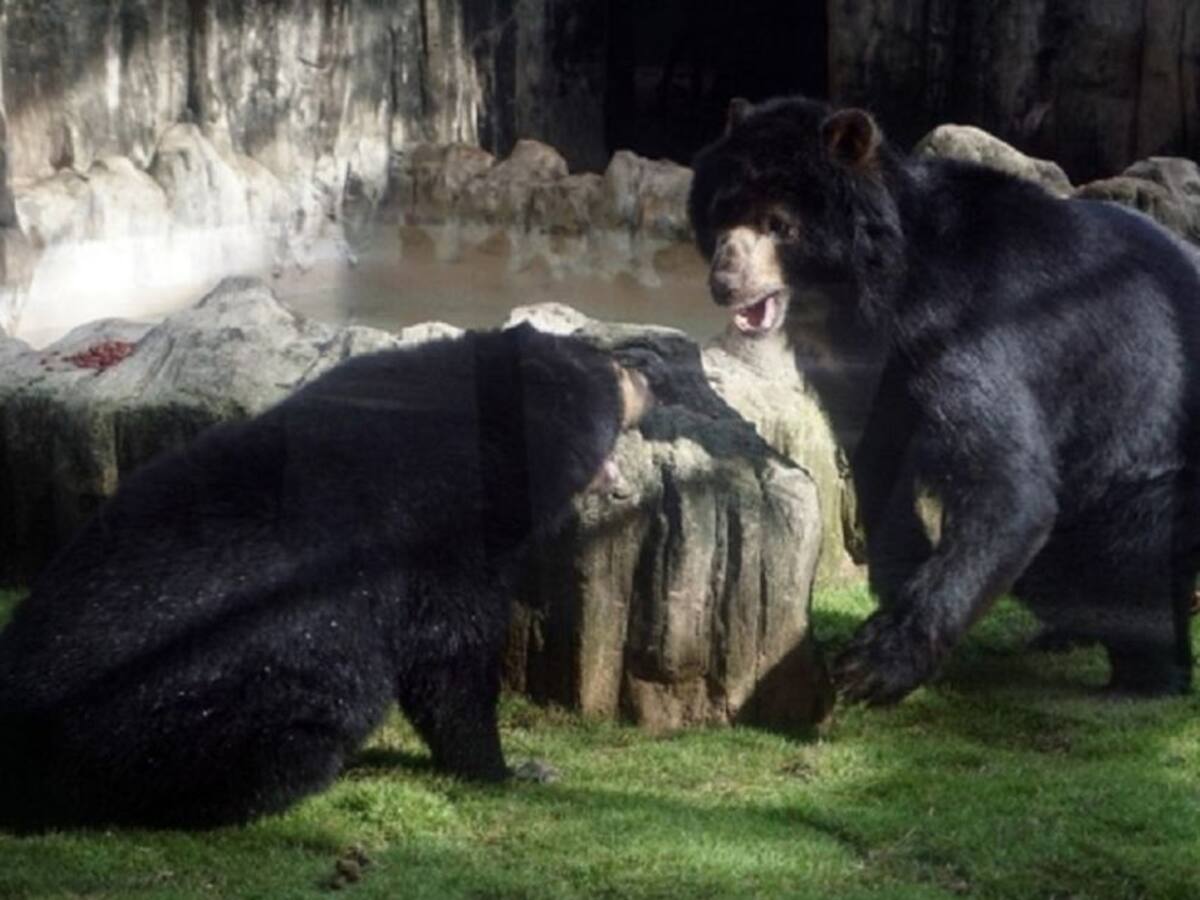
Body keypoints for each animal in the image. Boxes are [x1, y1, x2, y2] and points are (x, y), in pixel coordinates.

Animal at [687, 95, 1200, 704]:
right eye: (721, 215)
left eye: (779, 225)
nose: (724, 282)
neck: (864, 294)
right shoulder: (858, 369)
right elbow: (879, 463)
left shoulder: (961, 324)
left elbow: (1005, 481)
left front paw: (871, 665)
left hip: (1148, 453)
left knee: (1117, 561)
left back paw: (1145, 675)